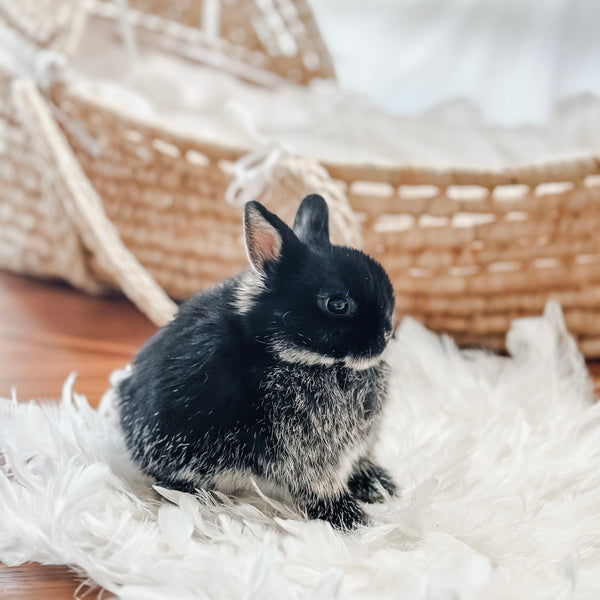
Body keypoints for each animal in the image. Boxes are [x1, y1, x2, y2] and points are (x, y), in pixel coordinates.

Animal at [118, 193, 398, 528]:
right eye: (338, 304)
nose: (386, 333)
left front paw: (375, 482)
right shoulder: (306, 449)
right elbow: (319, 483)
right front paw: (347, 516)